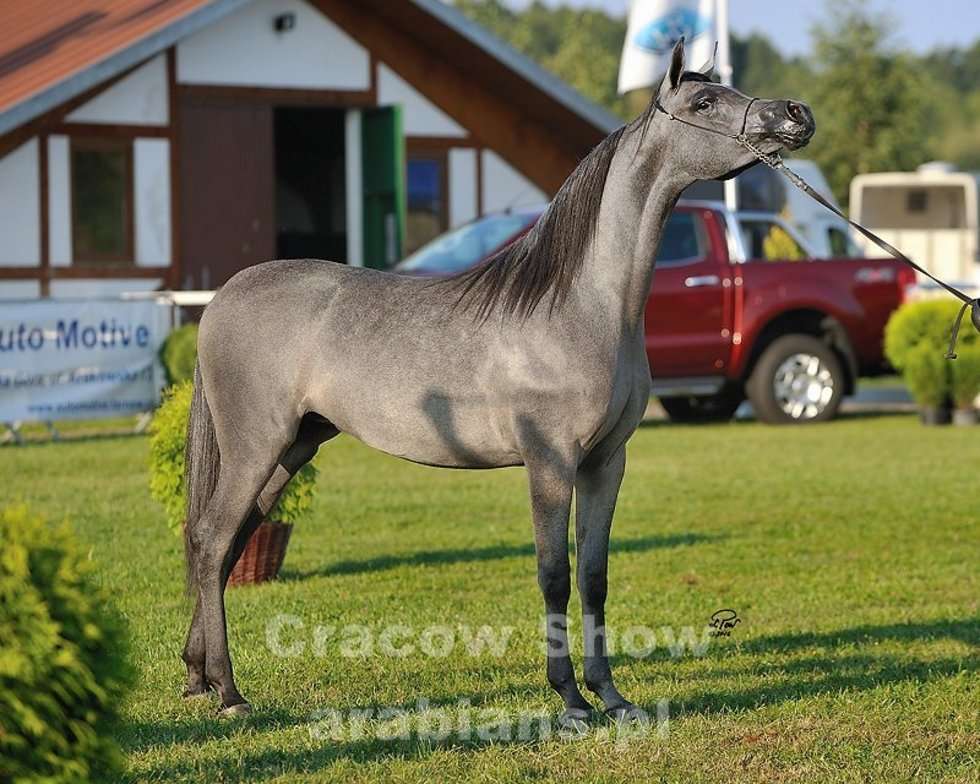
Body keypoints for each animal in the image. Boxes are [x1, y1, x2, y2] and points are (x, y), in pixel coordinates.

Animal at [180, 38, 816, 724]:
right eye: (703, 102)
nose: (795, 113)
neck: (583, 306)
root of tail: (223, 298)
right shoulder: (550, 462)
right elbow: (553, 576)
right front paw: (571, 700)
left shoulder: (605, 463)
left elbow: (594, 577)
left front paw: (612, 696)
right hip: (256, 446)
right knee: (212, 540)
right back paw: (230, 694)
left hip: (293, 447)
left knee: (227, 545)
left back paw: (199, 678)